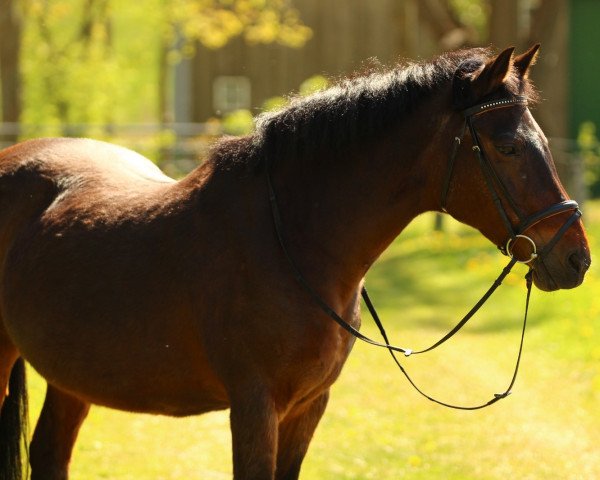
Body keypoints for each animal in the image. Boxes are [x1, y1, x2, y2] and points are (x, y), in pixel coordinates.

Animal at [0, 46, 592, 480]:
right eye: (508, 146)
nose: (576, 257)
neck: (292, 244)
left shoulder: (309, 406)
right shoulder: (255, 406)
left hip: (72, 378)